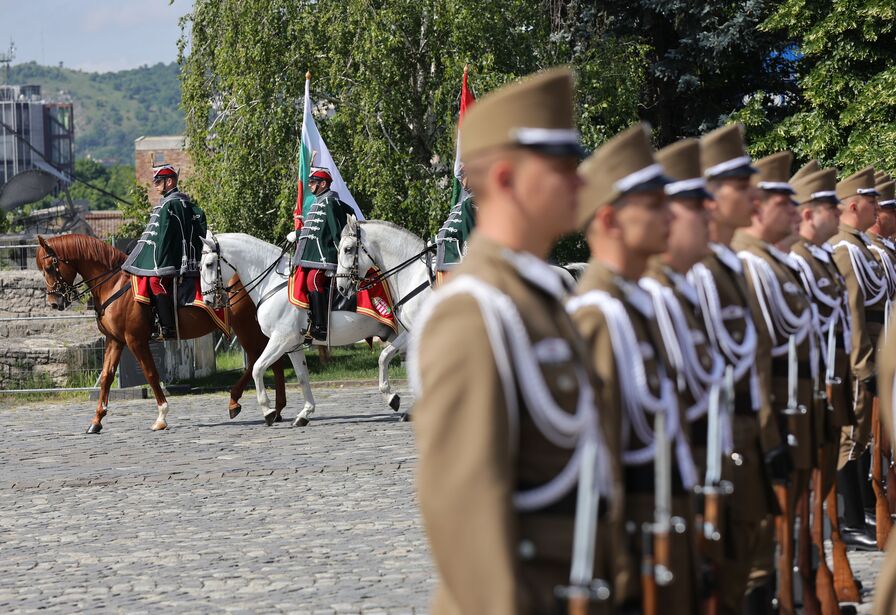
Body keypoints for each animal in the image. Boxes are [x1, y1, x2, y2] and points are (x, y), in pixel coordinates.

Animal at [35, 235, 286, 434]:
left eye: (49, 268)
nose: (54, 302)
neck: (113, 285)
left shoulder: (135, 340)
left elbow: (151, 374)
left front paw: (161, 416)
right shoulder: (115, 341)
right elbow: (106, 377)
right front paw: (96, 420)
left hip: (246, 326)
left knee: (258, 358)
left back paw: (242, 402)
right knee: (271, 359)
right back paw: (276, 408)